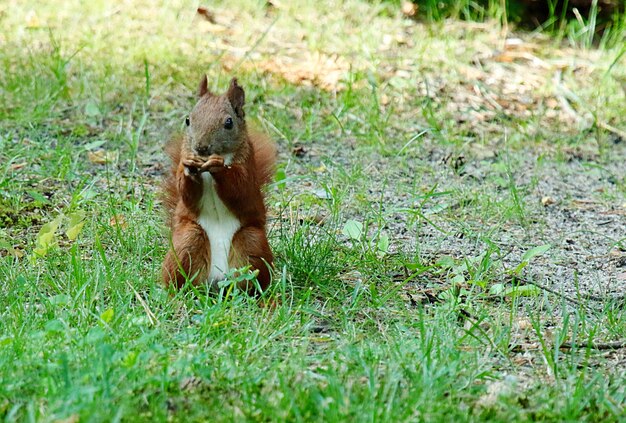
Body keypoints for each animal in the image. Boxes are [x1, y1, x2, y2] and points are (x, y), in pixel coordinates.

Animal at [162, 76, 274, 294]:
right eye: (187, 120)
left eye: (229, 123)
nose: (201, 148)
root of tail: (217, 281)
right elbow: (186, 192)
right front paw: (190, 167)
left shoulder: (248, 168)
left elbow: (241, 190)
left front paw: (218, 167)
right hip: (187, 241)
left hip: (252, 244)